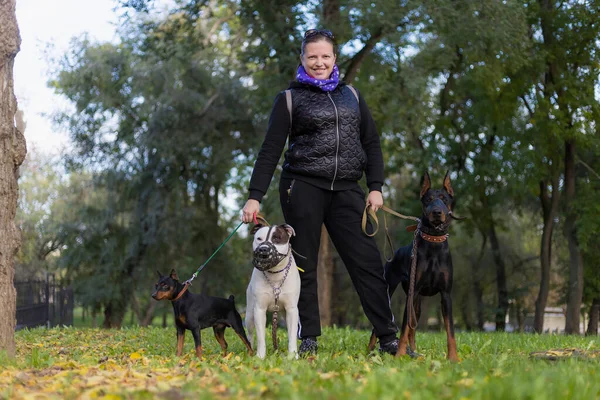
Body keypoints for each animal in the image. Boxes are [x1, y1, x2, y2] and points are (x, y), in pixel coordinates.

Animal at [245, 223, 300, 358]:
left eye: (276, 238)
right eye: (259, 239)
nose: (263, 249)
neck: (275, 274)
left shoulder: (292, 310)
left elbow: (292, 335)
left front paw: (293, 356)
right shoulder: (259, 310)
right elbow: (261, 337)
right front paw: (260, 356)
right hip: (249, 315)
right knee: (250, 334)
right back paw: (250, 350)